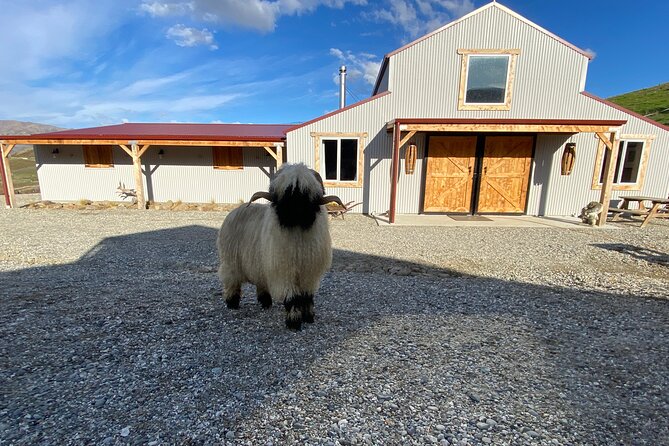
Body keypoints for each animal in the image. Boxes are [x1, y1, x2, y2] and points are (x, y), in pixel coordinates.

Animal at [217, 162, 344, 330]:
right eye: (286, 192)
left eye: (307, 193)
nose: (295, 211)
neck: (297, 233)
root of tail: (236, 209)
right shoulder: (285, 271)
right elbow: (293, 298)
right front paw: (294, 322)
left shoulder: (309, 273)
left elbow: (307, 296)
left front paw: (309, 317)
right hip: (231, 261)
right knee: (231, 280)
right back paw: (232, 303)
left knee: (260, 281)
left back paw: (265, 302)